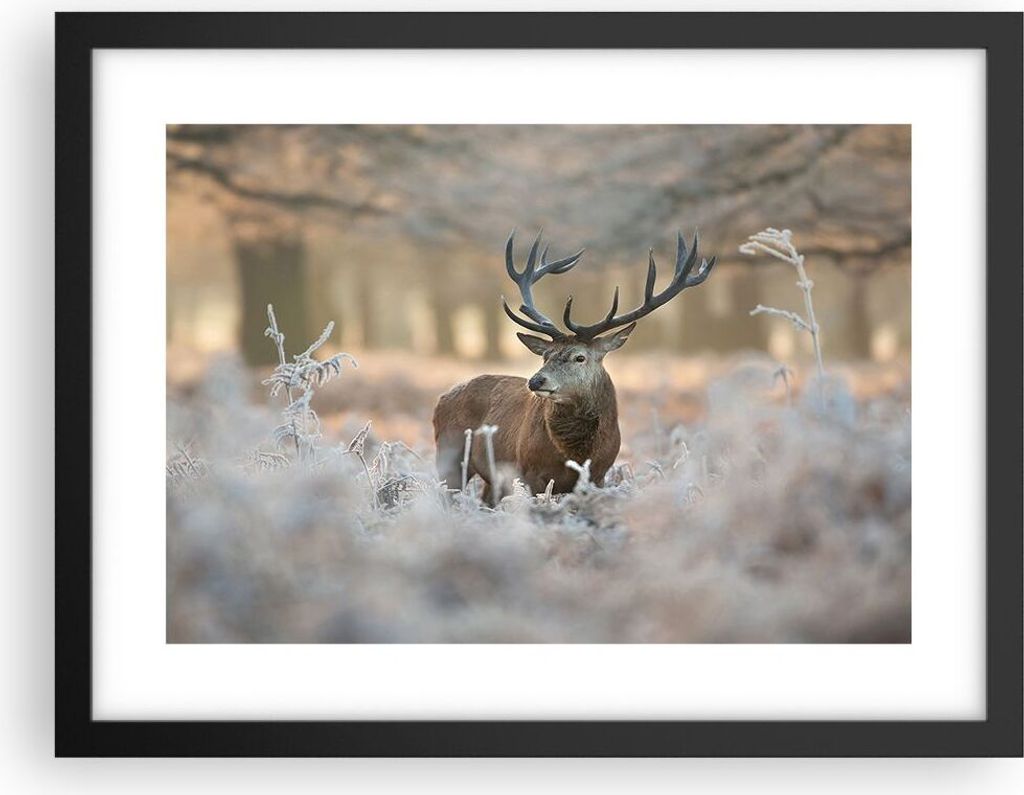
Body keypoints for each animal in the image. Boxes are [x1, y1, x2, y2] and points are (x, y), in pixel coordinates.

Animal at [433, 230, 717, 506]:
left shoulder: (599, 475)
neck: (576, 454)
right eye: (545, 356)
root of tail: (442, 398)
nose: (536, 381)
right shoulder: (528, 472)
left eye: (579, 357)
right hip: (449, 454)